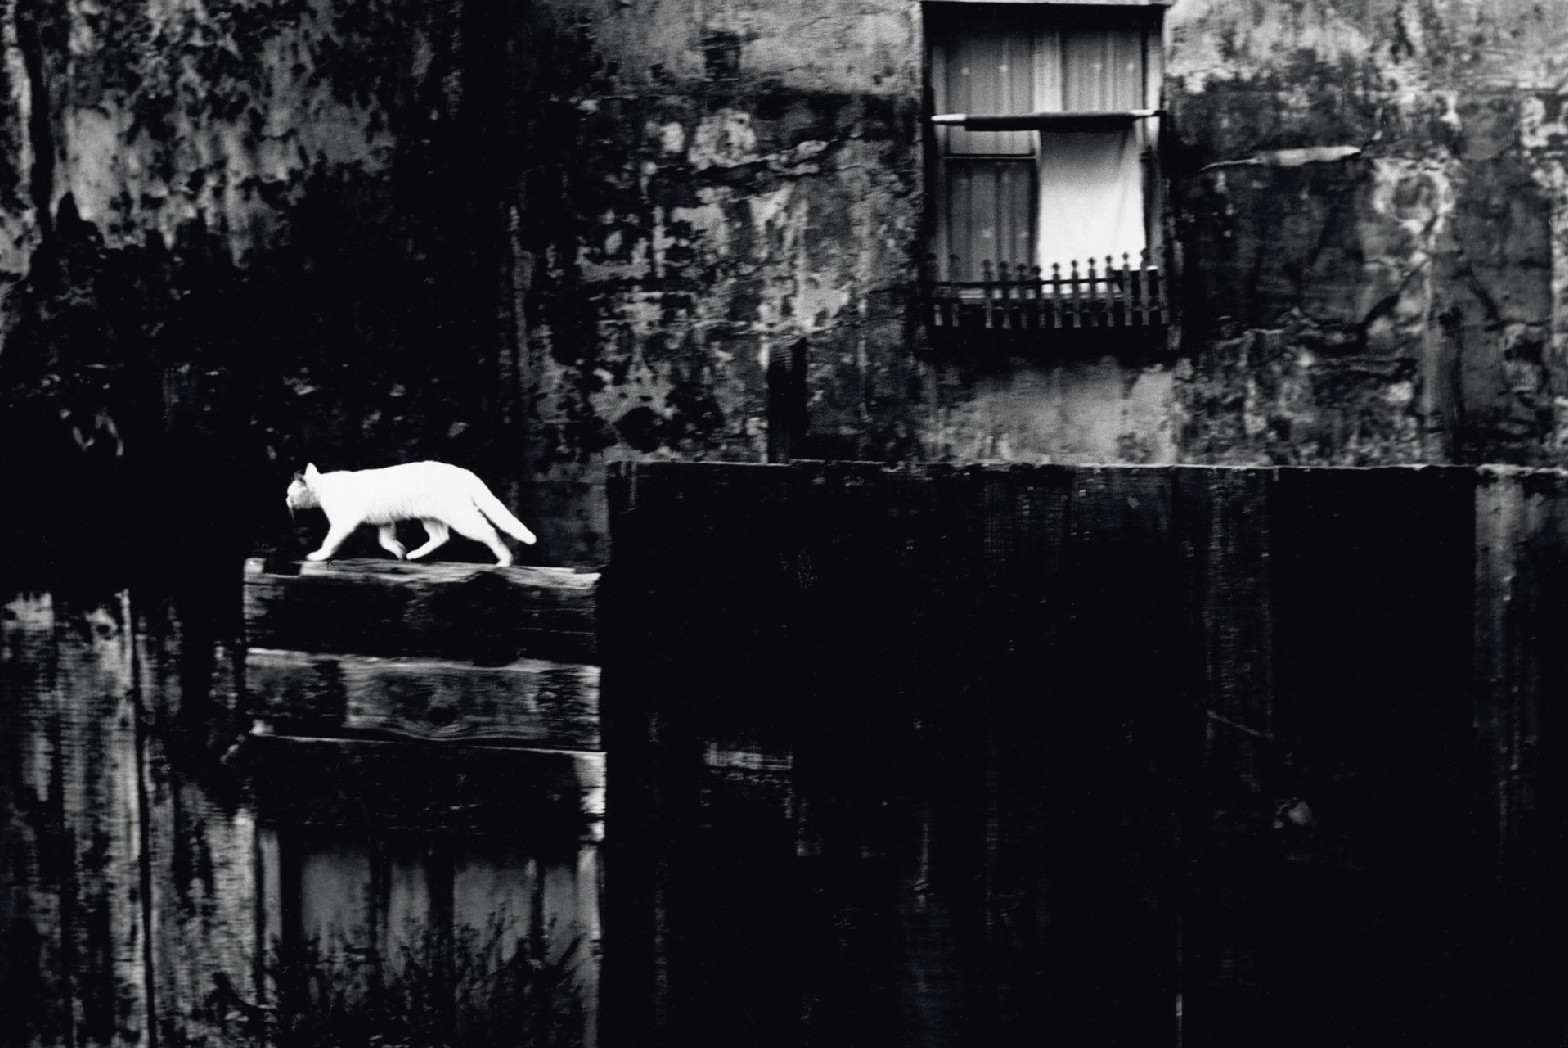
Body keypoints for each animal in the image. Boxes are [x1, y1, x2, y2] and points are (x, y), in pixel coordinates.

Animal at [288, 461, 539, 567]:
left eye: (289, 494)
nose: (285, 501)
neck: (323, 486)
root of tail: (463, 472)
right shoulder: (385, 520)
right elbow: (386, 540)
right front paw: (399, 551)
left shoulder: (344, 522)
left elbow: (330, 541)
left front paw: (317, 555)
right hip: (431, 516)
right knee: (440, 537)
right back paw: (414, 555)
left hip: (459, 516)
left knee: (489, 531)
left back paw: (504, 560)